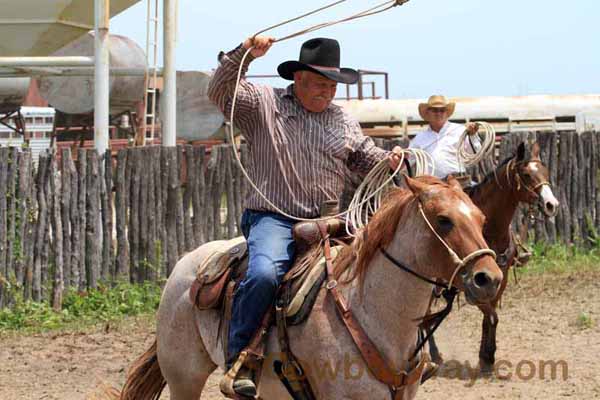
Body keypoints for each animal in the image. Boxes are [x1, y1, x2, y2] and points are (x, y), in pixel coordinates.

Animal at [111, 177, 502, 400]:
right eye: (443, 220)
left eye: (481, 218)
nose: (490, 278)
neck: (371, 312)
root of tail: (186, 264)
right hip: (184, 377)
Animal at [426, 143, 564, 376]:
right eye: (526, 175)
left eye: (545, 172)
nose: (551, 204)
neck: (489, 229)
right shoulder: (472, 285)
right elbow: (492, 316)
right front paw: (488, 356)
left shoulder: (501, 279)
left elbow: (489, 319)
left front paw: (486, 358)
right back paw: (433, 354)